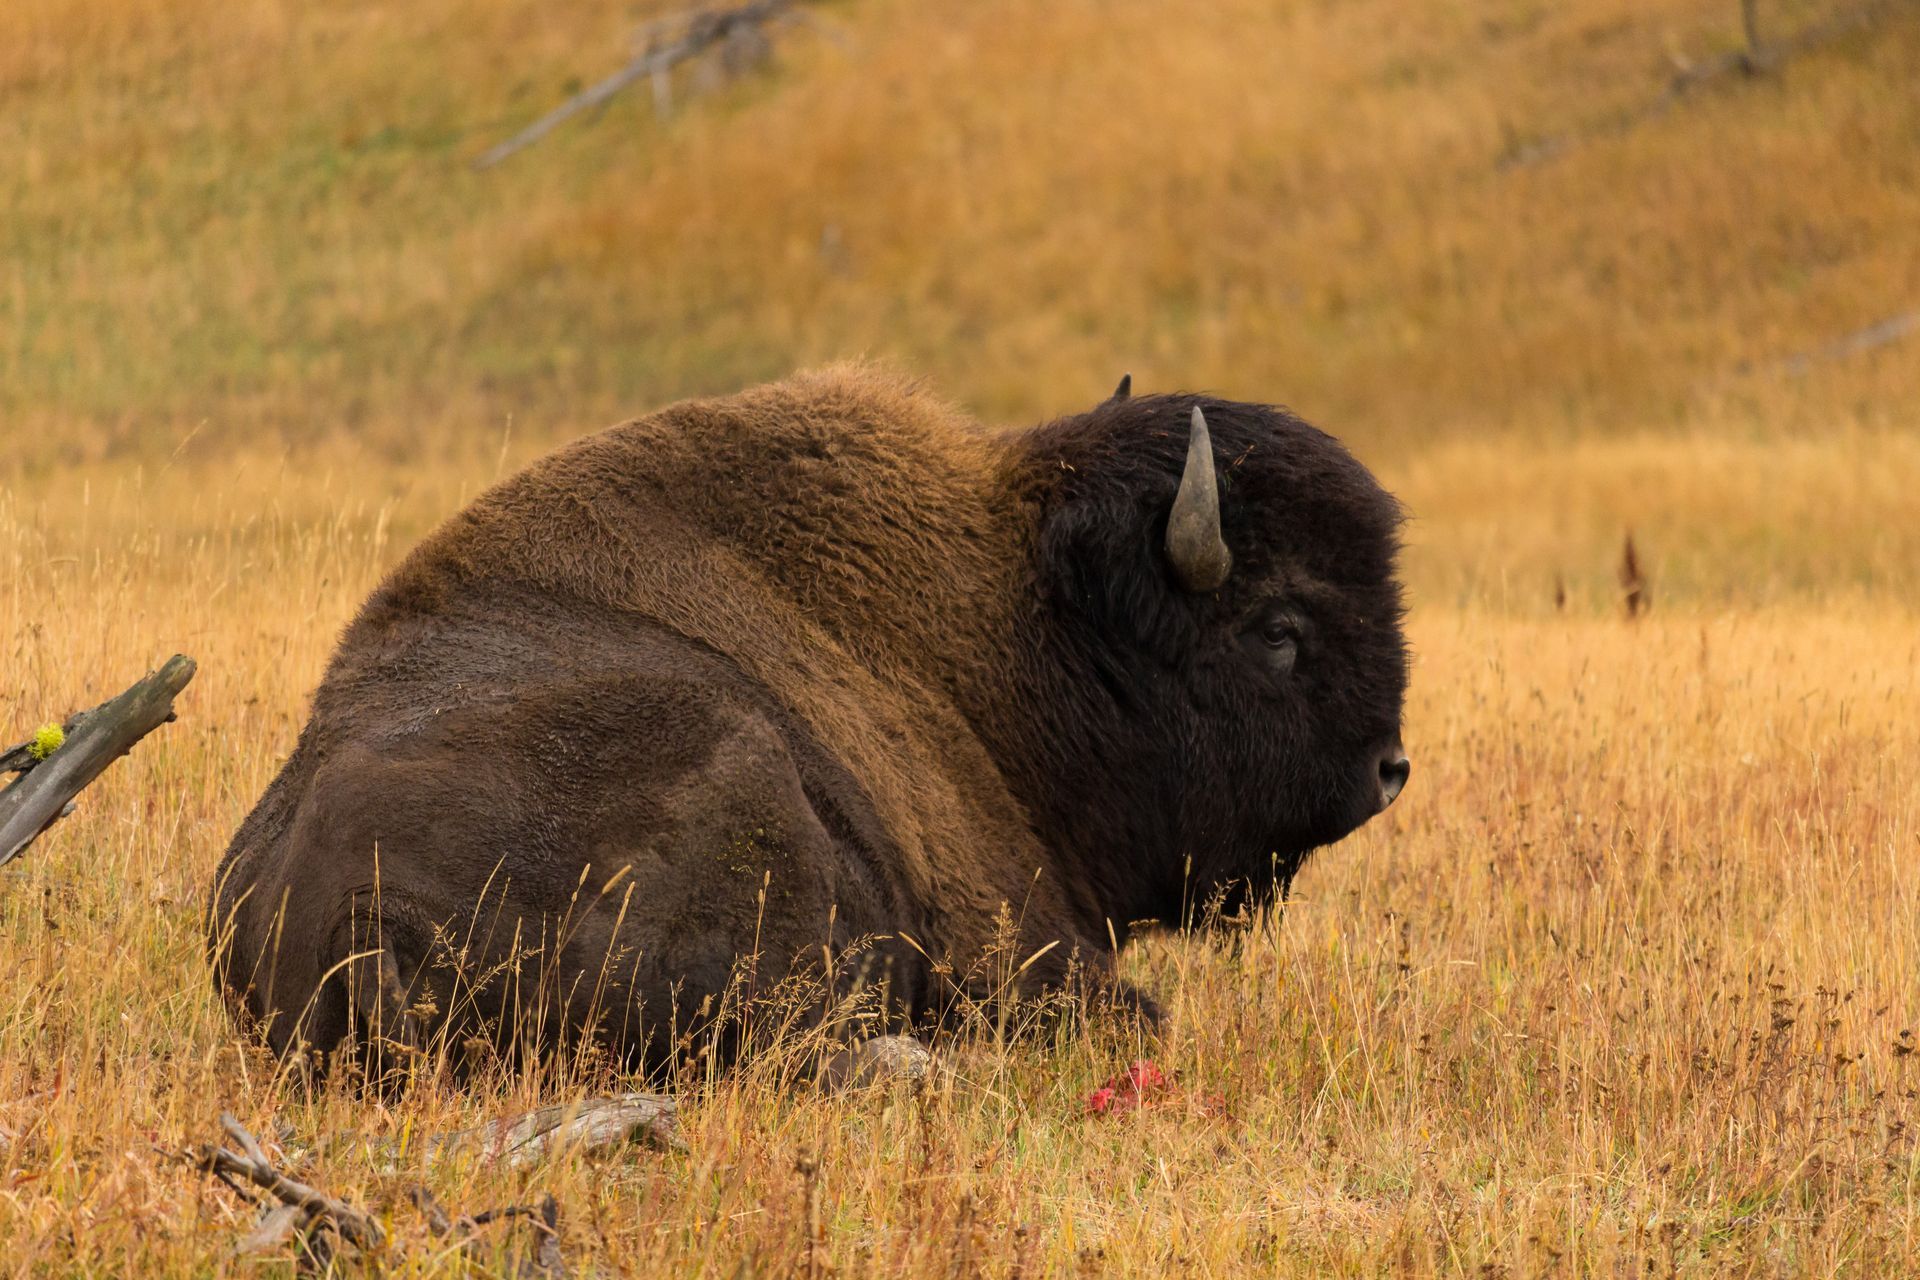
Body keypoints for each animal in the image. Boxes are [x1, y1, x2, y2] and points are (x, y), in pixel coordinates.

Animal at [209, 365, 1409, 1076]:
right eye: (1279, 627)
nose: (1389, 769)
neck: (1022, 617)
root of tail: (362, 918)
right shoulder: (1021, 936)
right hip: (744, 772)